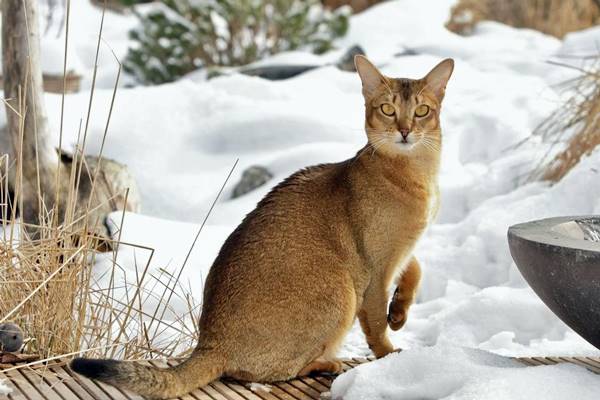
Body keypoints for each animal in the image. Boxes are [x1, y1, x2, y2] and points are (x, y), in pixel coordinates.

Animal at [70, 54, 452, 398]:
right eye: (387, 109)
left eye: (422, 111)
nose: (405, 131)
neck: (417, 175)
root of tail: (210, 342)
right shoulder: (376, 269)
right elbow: (374, 324)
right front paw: (391, 355)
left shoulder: (402, 252)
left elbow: (416, 269)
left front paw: (399, 312)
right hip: (340, 290)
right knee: (266, 371)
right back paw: (326, 363)